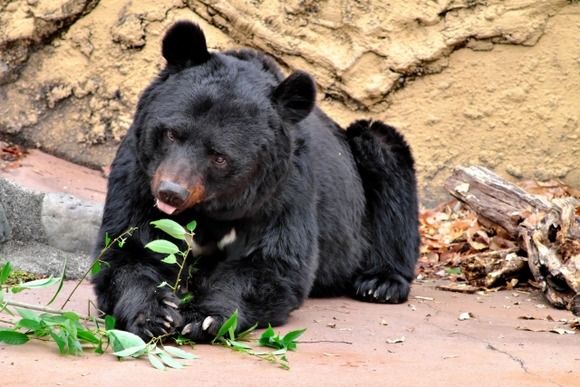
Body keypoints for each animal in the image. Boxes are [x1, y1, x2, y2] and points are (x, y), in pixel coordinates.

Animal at [94, 21, 422, 342]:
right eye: (172, 133)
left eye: (219, 157)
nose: (171, 193)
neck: (212, 206)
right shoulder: (138, 173)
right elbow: (128, 247)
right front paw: (155, 315)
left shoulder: (282, 190)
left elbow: (272, 264)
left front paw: (202, 317)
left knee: (386, 161)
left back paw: (380, 283)